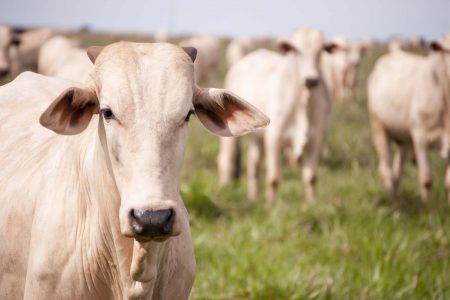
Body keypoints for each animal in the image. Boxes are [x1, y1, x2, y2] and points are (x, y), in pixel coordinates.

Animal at [218, 28, 334, 206]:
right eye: (296, 50)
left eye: (321, 50)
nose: (311, 80)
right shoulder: (274, 139)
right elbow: (273, 179)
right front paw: (270, 206)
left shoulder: (316, 140)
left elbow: (311, 177)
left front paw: (312, 203)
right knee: (227, 158)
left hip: (258, 138)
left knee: (253, 163)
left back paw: (253, 195)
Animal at [370, 41, 450, 203]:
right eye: (448, 51)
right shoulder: (421, 137)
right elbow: (426, 179)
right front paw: (427, 204)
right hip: (378, 127)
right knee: (386, 168)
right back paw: (389, 195)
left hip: (404, 140)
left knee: (397, 171)